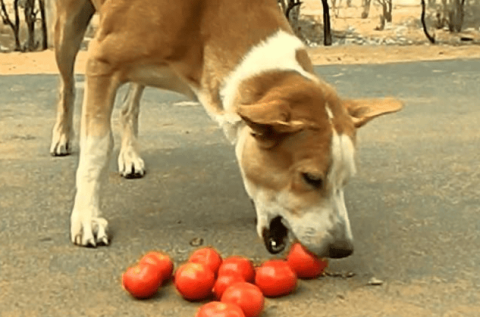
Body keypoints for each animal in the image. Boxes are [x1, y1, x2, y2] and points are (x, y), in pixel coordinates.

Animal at [49, 0, 402, 256]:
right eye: (310, 178)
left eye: (346, 180)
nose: (343, 248)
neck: (203, 20)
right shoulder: (101, 63)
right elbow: (97, 149)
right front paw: (86, 217)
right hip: (68, 30)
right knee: (66, 87)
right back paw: (63, 137)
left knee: (128, 107)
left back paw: (130, 155)